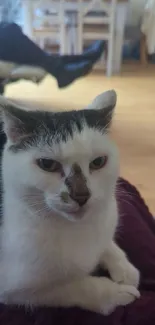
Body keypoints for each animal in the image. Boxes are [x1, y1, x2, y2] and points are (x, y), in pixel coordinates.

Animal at [0, 91, 139, 314]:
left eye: (98, 162)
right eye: (47, 164)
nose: (81, 195)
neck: (76, 229)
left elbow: (106, 243)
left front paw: (124, 267)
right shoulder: (14, 287)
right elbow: (75, 287)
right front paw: (116, 293)